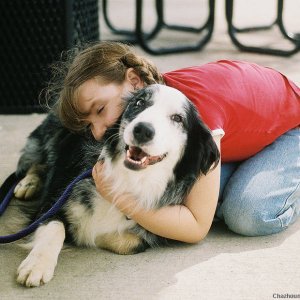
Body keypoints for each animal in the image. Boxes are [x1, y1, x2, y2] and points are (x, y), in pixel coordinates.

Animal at [10, 84, 219, 286]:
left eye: (177, 118)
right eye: (139, 103)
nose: (142, 130)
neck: (127, 179)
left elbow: (132, 243)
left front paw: (85, 233)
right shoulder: (54, 200)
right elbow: (55, 228)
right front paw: (37, 265)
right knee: (37, 160)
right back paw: (28, 183)